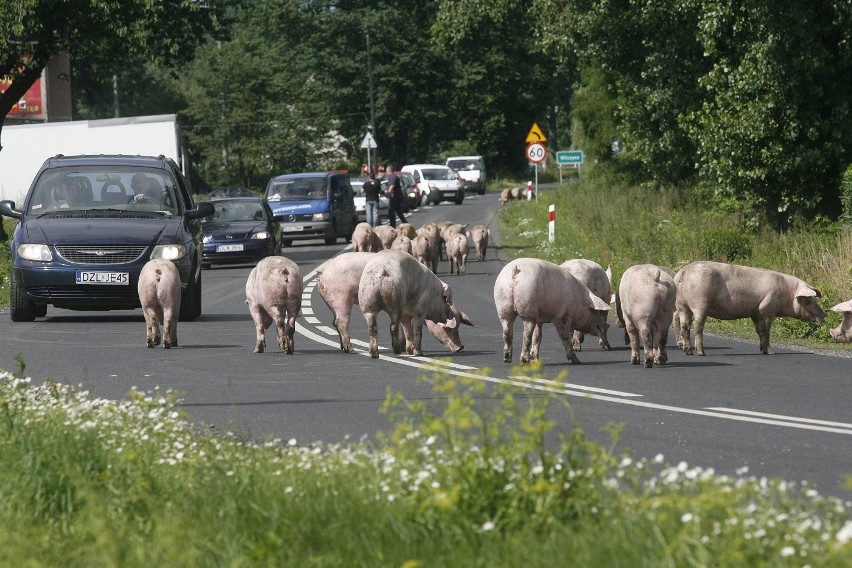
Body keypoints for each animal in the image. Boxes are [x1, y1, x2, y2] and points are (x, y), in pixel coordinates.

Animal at [316, 252, 472, 352]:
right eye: (449, 328)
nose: (461, 348)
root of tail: (324, 270)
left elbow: (405, 327)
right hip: (341, 297)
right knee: (341, 322)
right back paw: (352, 350)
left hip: (335, 302)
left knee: (334, 322)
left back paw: (344, 348)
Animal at [672, 260, 824, 356]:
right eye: (809, 300)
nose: (824, 314)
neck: (788, 294)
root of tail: (684, 272)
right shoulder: (767, 309)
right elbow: (766, 332)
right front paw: (771, 352)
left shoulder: (755, 312)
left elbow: (759, 331)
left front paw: (762, 350)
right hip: (700, 302)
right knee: (697, 326)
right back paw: (701, 353)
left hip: (681, 304)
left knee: (685, 325)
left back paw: (688, 352)